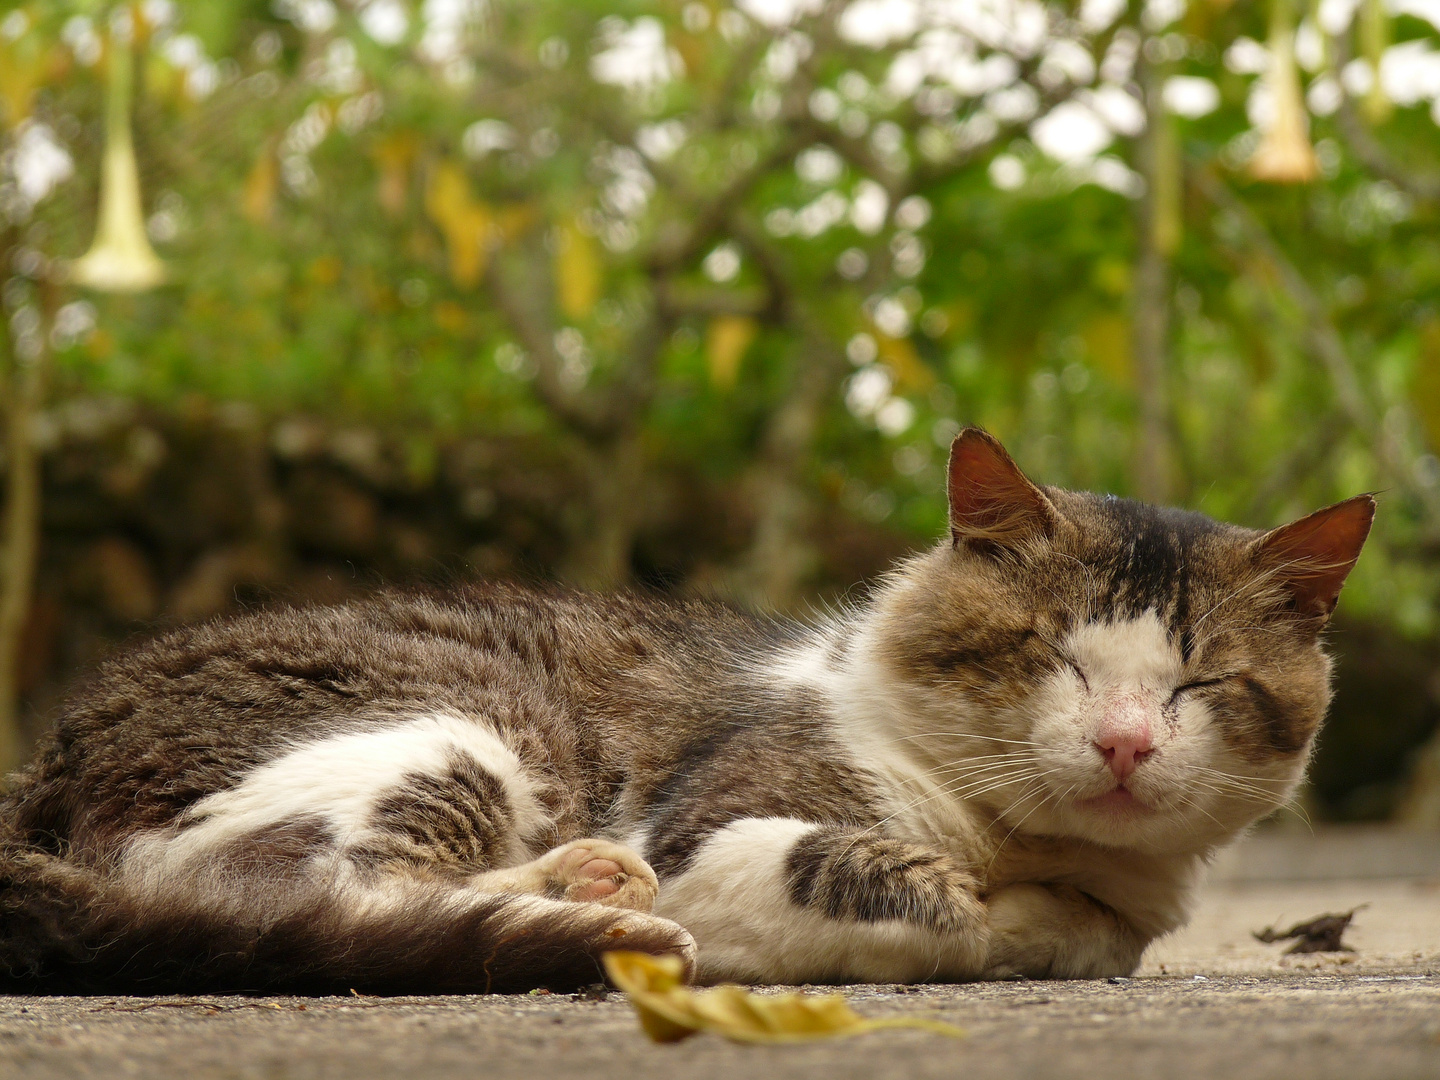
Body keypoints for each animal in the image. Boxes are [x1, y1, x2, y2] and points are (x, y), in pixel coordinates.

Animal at [0, 426, 1370, 996]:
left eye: (1199, 685)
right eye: (1055, 658)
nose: (1126, 742)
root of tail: (45, 771)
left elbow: (1100, 934)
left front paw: (1056, 919)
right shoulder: (715, 830)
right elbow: (915, 894)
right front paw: (993, 913)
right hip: (452, 731)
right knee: (311, 897)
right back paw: (597, 911)